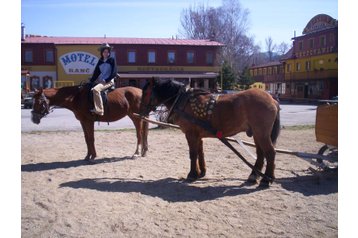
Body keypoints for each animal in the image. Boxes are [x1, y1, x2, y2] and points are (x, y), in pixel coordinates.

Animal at [140, 78, 280, 186]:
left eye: (146, 92)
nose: (141, 111)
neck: (182, 100)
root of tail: (272, 99)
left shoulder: (191, 134)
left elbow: (193, 154)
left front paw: (192, 174)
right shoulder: (197, 135)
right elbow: (199, 153)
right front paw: (200, 172)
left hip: (261, 133)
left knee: (270, 153)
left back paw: (266, 179)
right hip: (257, 133)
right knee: (261, 154)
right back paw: (254, 176)